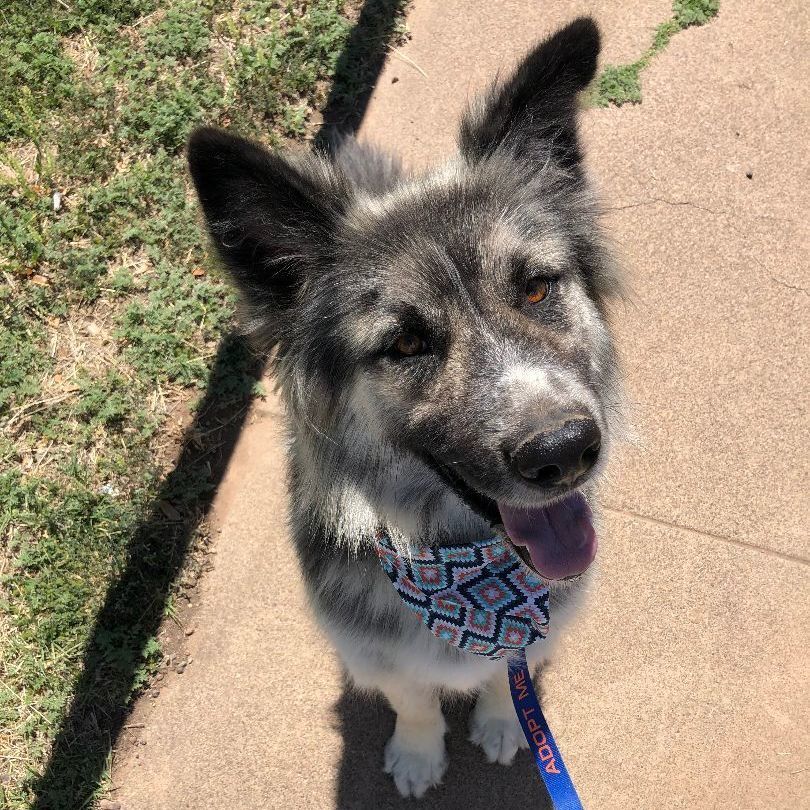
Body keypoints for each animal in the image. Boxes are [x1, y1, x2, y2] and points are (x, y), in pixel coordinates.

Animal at [189, 17, 624, 796]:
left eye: (536, 288)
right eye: (406, 341)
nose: (565, 452)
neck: (466, 574)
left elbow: (503, 675)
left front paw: (504, 723)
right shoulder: (374, 652)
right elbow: (415, 700)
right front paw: (419, 757)